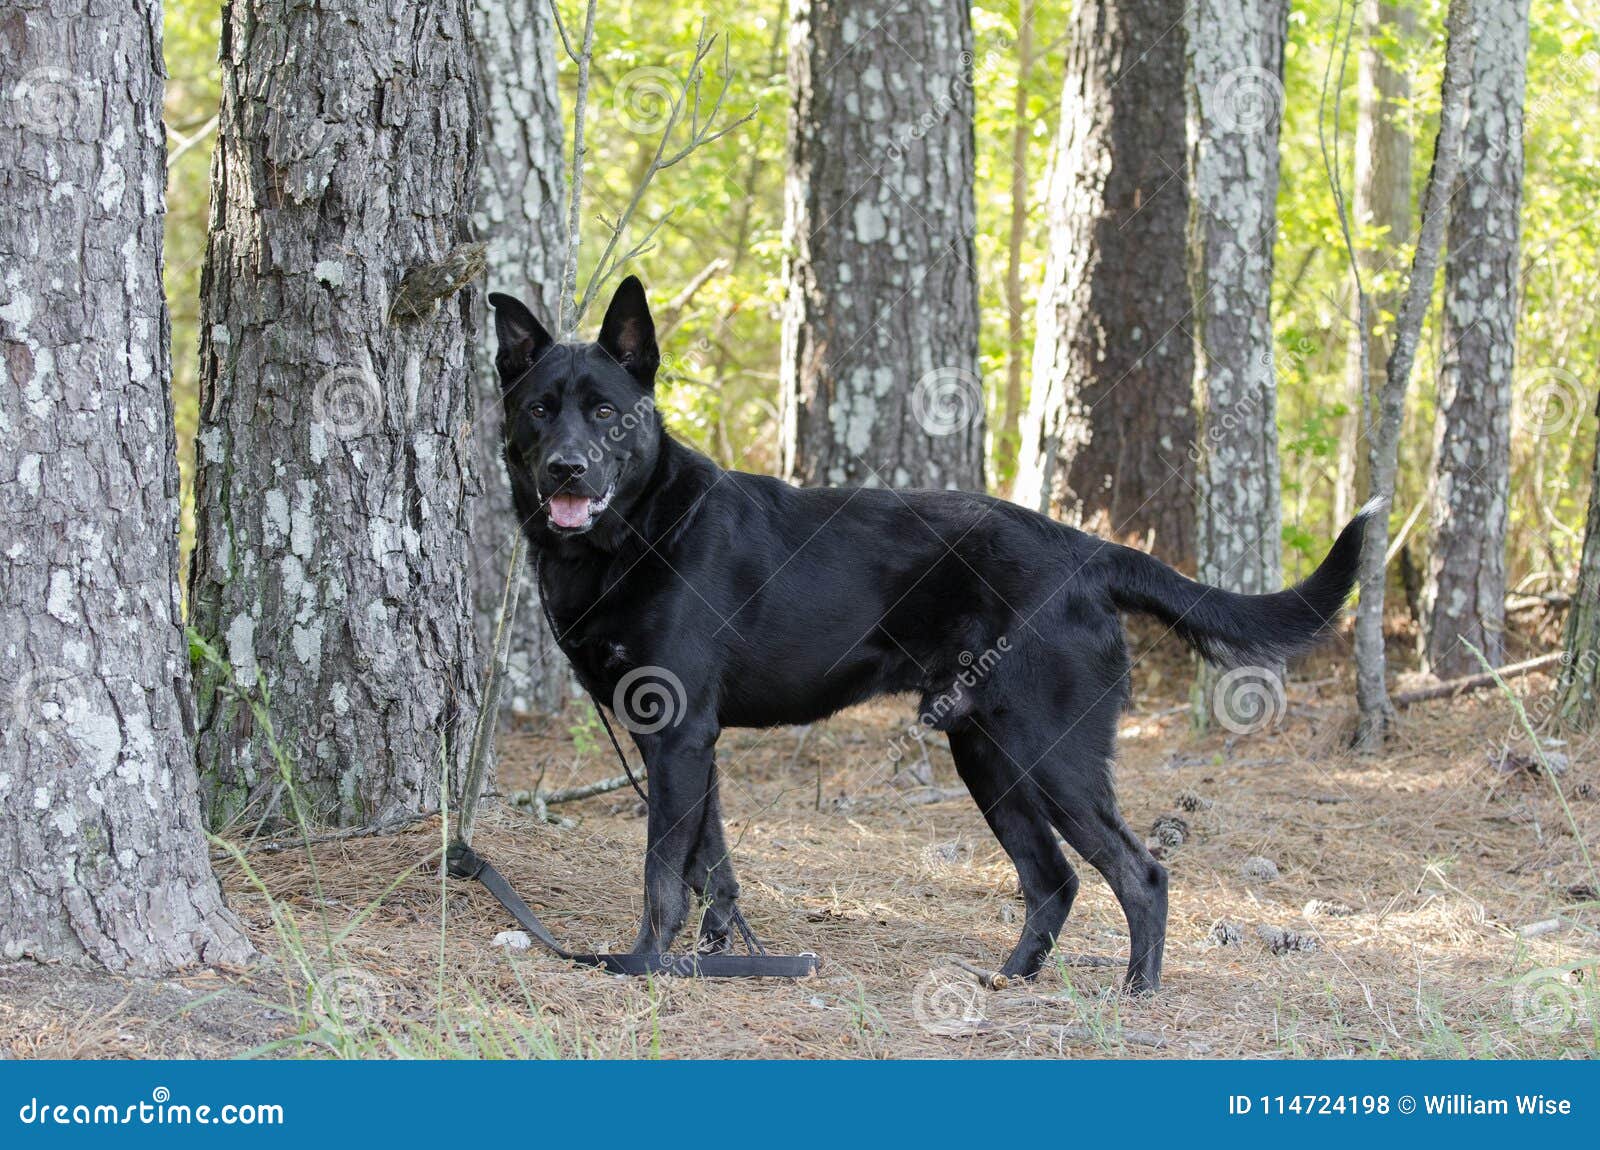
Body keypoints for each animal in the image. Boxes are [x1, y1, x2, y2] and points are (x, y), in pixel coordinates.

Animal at [486, 276, 1376, 991]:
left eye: (605, 411)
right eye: (539, 410)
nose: (566, 469)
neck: (635, 533)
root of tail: (1085, 552)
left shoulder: (677, 735)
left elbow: (662, 872)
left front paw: (643, 965)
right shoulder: (686, 744)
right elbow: (714, 870)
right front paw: (713, 962)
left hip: (1050, 753)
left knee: (1141, 873)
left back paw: (1138, 992)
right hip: (987, 753)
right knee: (1054, 879)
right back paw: (1012, 979)